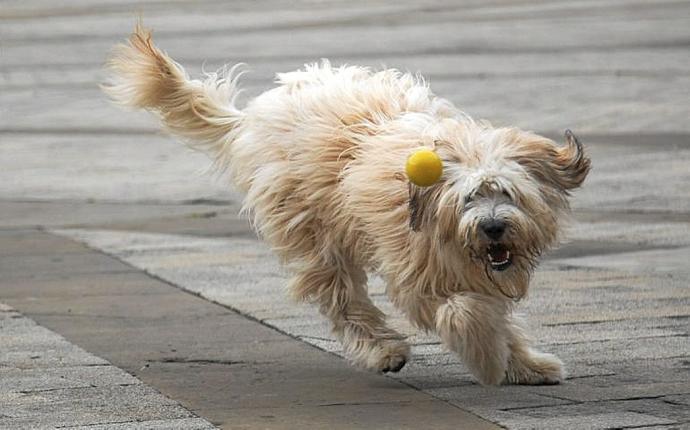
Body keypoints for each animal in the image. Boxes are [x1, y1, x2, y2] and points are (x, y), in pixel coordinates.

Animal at [105, 24, 588, 386]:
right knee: (341, 298)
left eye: (507, 193)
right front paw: (490, 359)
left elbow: (490, 312)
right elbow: (464, 312)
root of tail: (252, 118)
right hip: (312, 232)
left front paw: (524, 364)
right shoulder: (415, 269)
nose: (492, 228)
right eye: (470, 197)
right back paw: (383, 350)